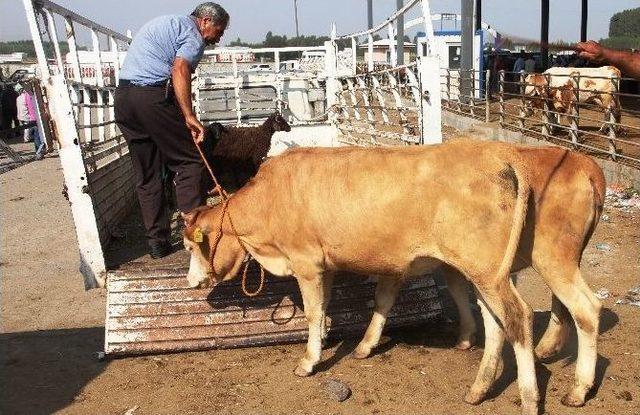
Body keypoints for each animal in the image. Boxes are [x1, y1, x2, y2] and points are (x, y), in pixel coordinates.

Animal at [181, 141, 604, 415]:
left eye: (189, 246)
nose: (191, 283)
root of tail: (502, 155)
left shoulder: (306, 262)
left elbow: (314, 312)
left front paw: (309, 360)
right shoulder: (330, 265)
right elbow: (344, 307)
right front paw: (347, 343)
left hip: (534, 262)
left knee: (545, 313)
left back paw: (548, 394)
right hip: (487, 270)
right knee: (498, 321)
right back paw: (481, 388)